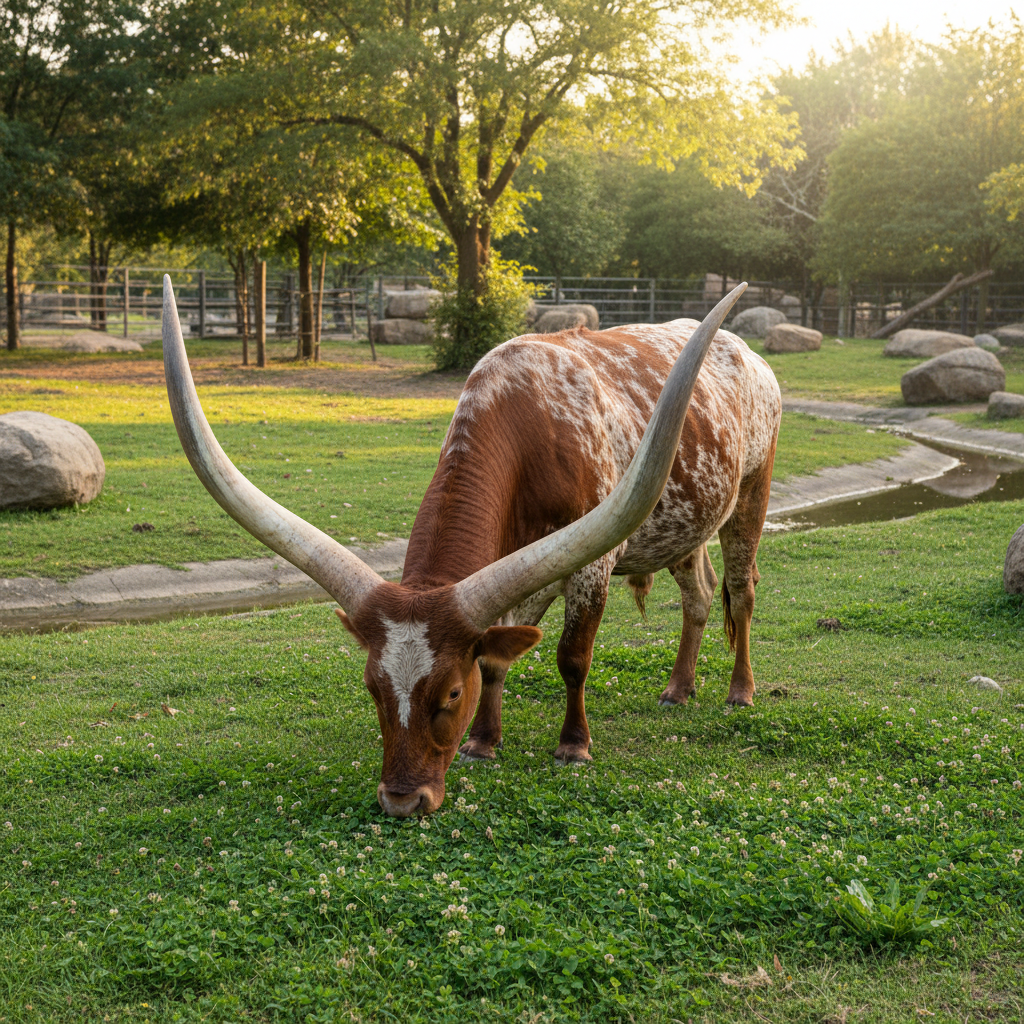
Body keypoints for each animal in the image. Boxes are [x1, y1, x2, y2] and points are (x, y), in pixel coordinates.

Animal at [161, 279, 781, 817]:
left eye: (451, 694)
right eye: (372, 689)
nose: (402, 801)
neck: (529, 424)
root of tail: (749, 354)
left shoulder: (591, 566)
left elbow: (571, 658)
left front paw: (573, 745)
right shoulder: (518, 567)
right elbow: (495, 655)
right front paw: (484, 741)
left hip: (752, 492)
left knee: (742, 591)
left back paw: (740, 691)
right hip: (686, 523)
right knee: (700, 594)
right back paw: (678, 688)